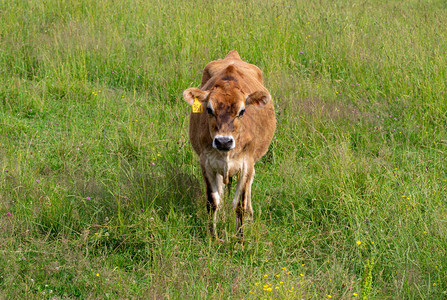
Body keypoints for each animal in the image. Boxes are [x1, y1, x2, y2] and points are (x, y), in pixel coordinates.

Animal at [183, 51, 276, 239]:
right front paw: (213, 237)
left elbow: (240, 203)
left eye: (242, 111)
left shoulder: (246, 163)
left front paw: (240, 239)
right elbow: (213, 202)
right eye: (209, 109)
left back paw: (250, 216)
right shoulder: (206, 163)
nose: (223, 141)